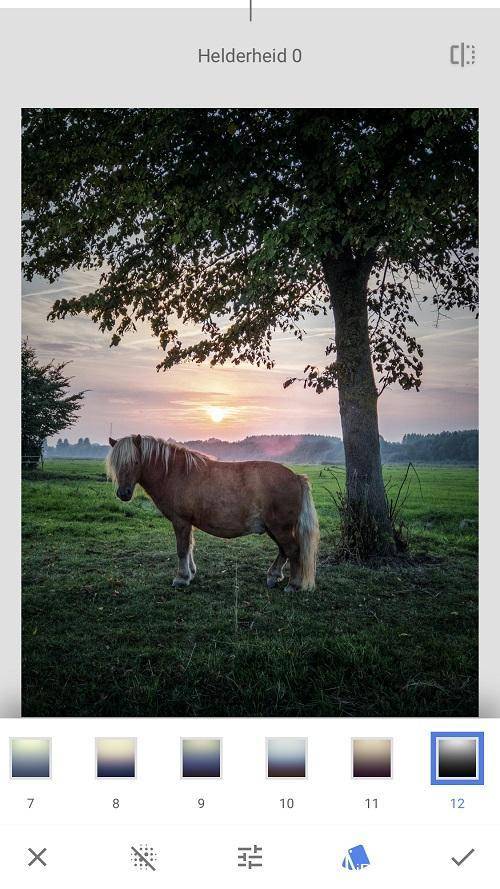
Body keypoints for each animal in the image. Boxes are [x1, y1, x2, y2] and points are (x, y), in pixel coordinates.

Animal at [106, 436, 320, 592]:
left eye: (135, 462)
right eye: (116, 464)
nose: (123, 493)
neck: (177, 473)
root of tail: (296, 477)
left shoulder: (180, 521)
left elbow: (182, 549)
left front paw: (181, 578)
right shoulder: (187, 522)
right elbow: (189, 547)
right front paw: (190, 573)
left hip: (279, 527)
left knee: (293, 550)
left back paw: (293, 585)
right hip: (273, 527)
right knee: (284, 551)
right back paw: (274, 576)